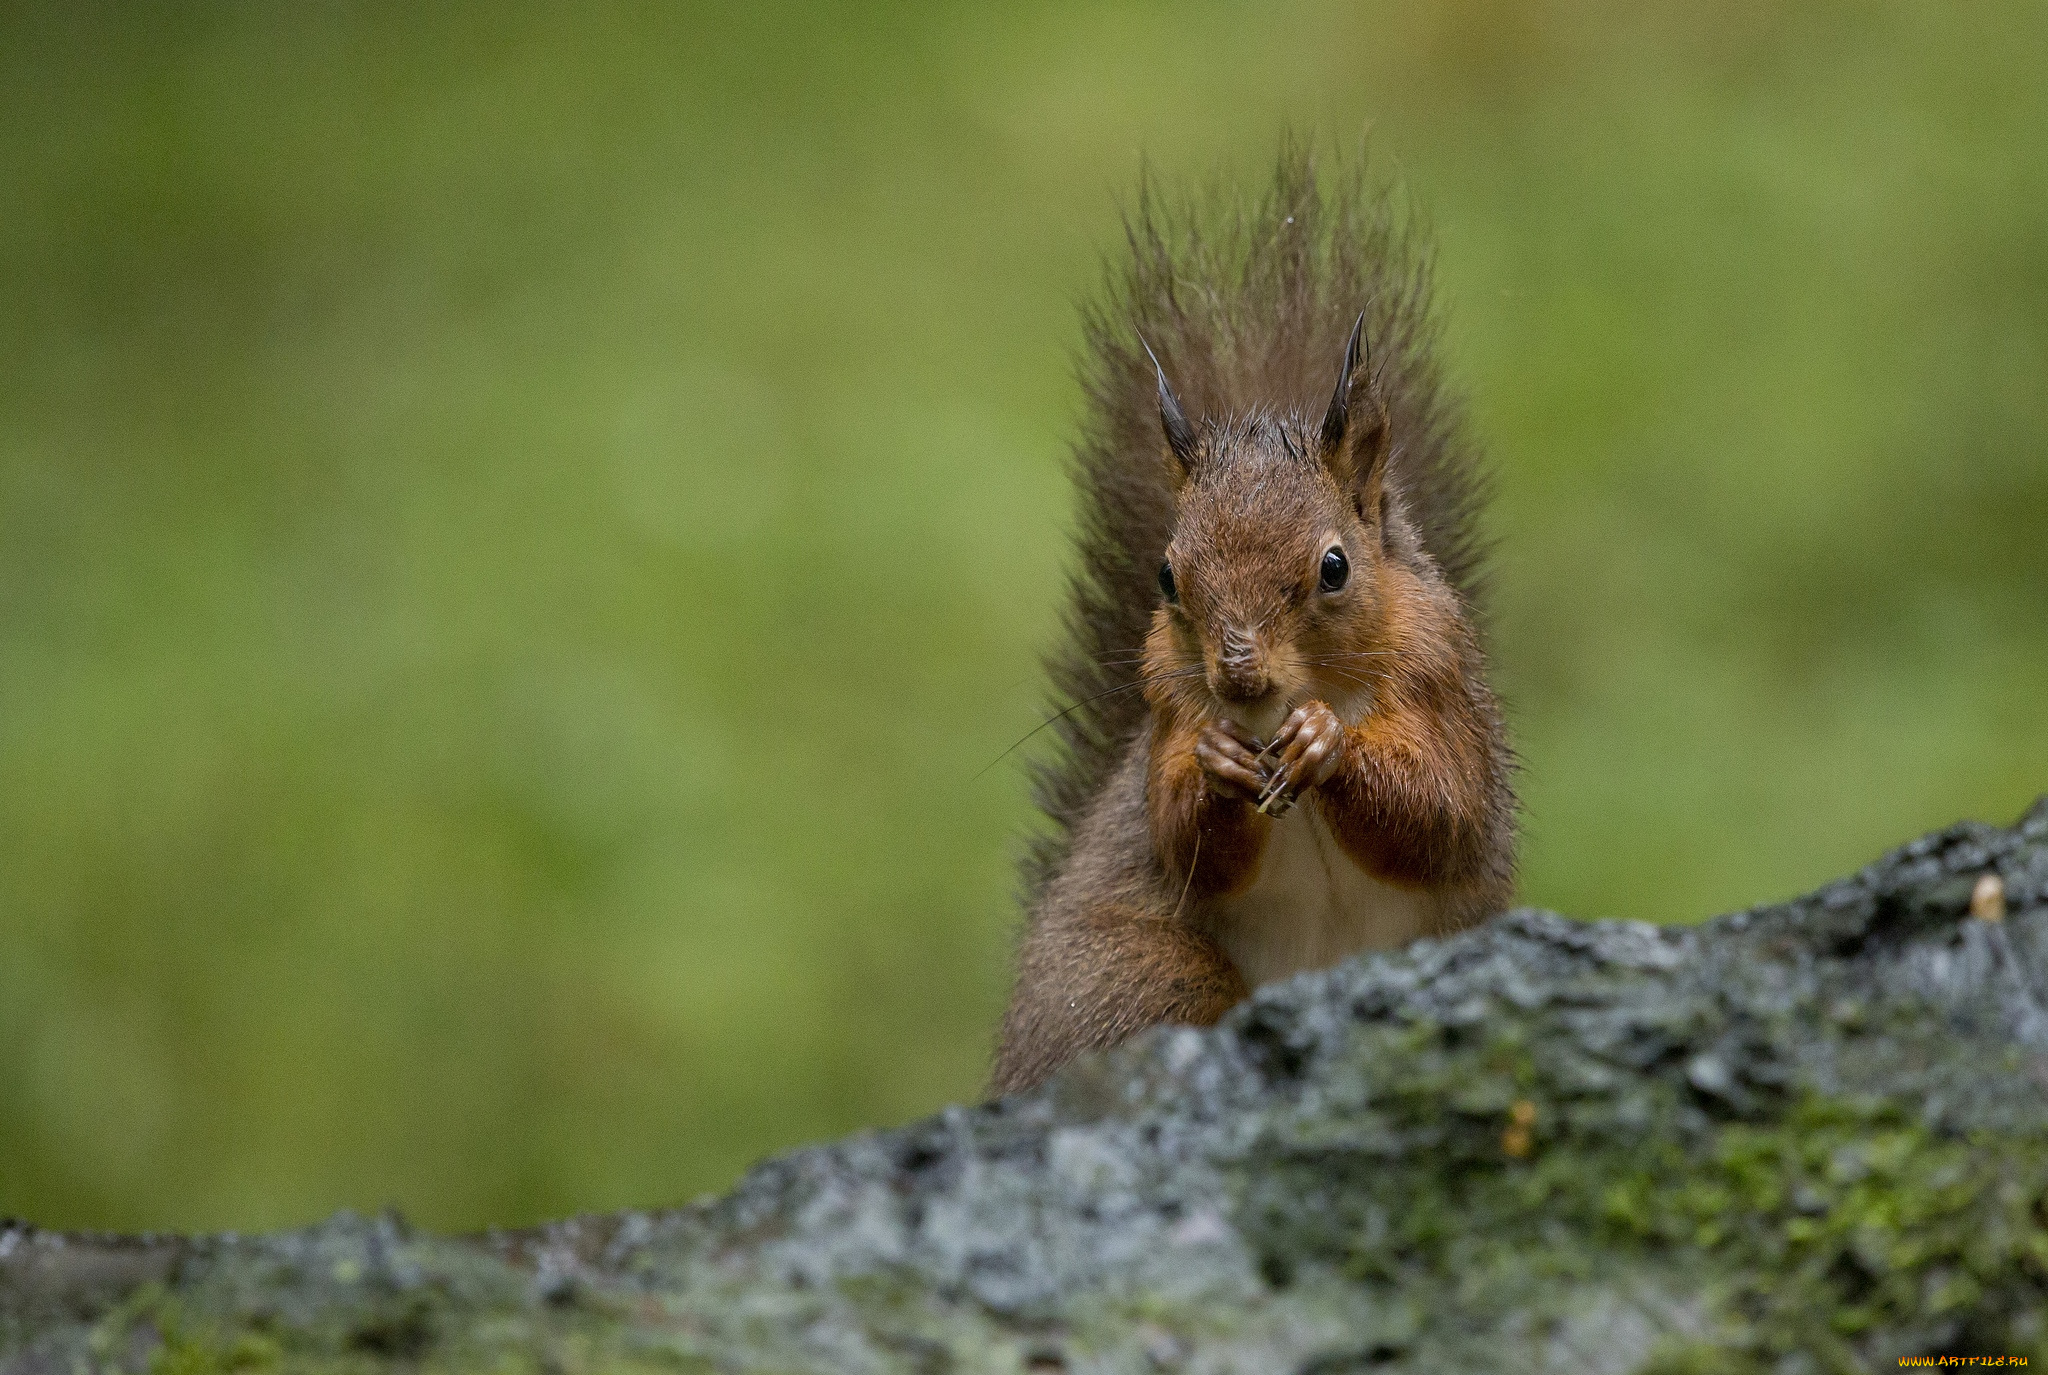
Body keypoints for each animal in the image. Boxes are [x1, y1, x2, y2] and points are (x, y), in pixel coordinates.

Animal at [991, 150, 1523, 1098]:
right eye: (1166, 575)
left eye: (1335, 567)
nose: (1238, 675)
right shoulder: (1168, 707)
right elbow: (1181, 835)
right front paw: (1220, 766)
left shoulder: (1445, 689)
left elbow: (1439, 811)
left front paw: (1324, 743)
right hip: (1138, 978)